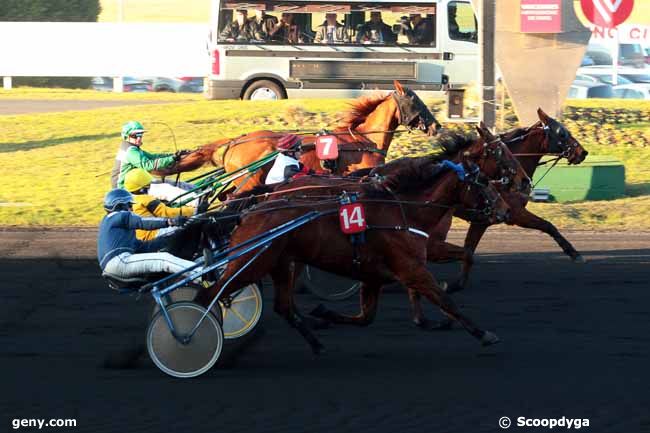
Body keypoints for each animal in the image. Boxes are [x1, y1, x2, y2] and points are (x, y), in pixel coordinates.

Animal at [195, 154, 508, 352]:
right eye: (484, 182)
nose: (505, 209)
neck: (404, 211)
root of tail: (251, 210)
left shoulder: (375, 276)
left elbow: (365, 317)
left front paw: (324, 312)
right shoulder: (412, 268)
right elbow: (446, 300)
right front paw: (484, 334)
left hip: (281, 262)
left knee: (282, 305)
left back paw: (316, 341)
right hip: (253, 263)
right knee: (211, 295)